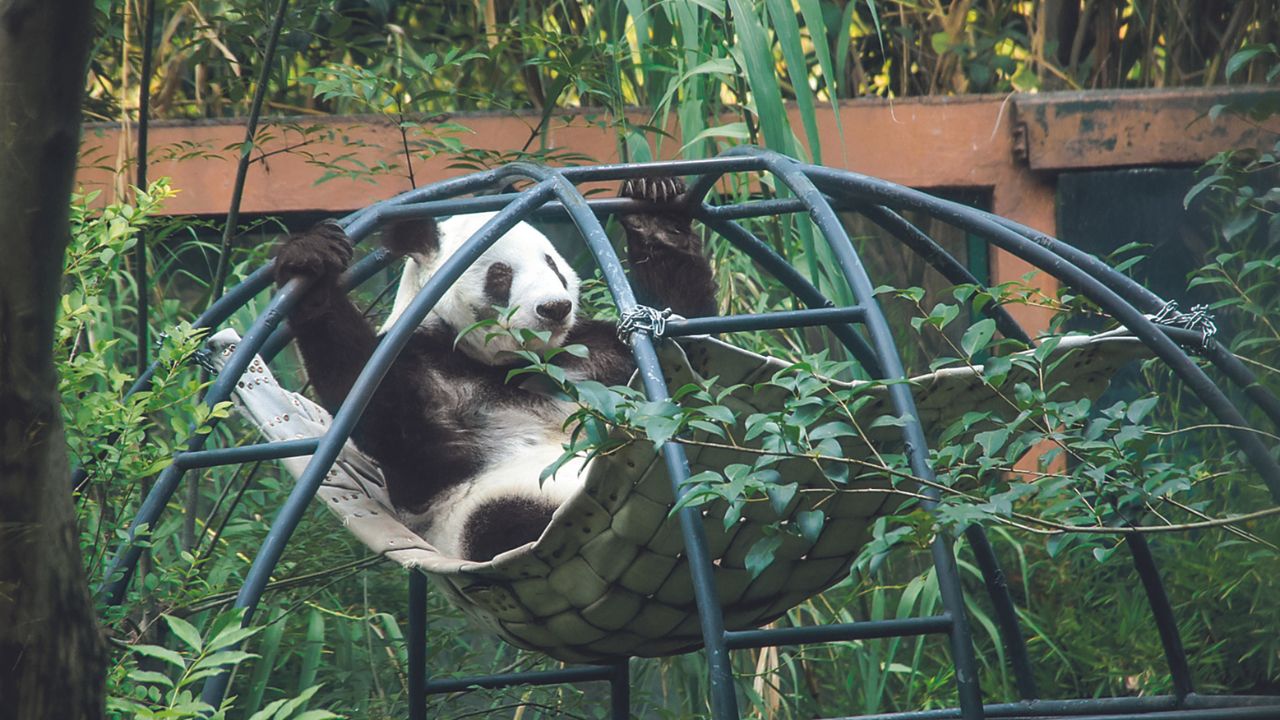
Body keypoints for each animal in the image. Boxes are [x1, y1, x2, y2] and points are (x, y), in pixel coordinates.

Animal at [275, 175, 716, 561]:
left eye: (553, 265)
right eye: (500, 274)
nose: (554, 308)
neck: (510, 364)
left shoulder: (592, 355)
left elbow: (694, 348)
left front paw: (654, 204)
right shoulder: (420, 365)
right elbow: (375, 409)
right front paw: (310, 262)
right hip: (487, 510)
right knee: (506, 523)